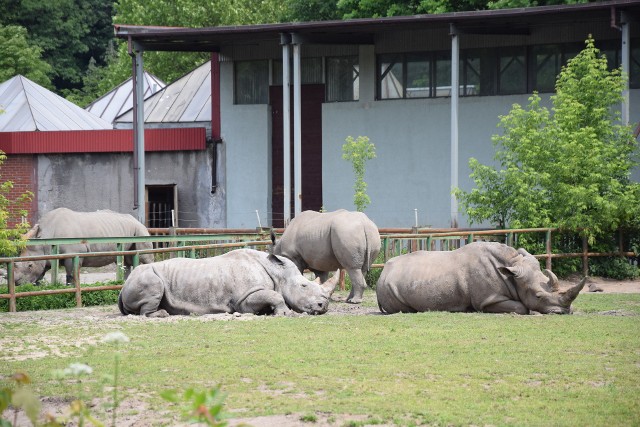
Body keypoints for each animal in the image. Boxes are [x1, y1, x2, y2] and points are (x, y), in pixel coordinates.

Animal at [13, 208, 154, 286]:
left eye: (30, 265)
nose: (17, 284)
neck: (45, 239)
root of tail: (136, 219)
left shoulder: (72, 254)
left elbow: (71, 275)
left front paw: (69, 288)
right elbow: (41, 274)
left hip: (140, 230)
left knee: (144, 257)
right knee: (126, 261)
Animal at [118, 247, 342, 318]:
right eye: (304, 286)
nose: (323, 306)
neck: (278, 273)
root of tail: (122, 287)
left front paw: (270, 311)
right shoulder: (245, 298)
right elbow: (275, 295)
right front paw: (284, 313)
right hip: (145, 277)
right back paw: (162, 315)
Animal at [378, 242, 588, 316]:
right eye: (538, 296)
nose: (563, 312)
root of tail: (383, 273)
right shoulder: (488, 299)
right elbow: (521, 307)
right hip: (389, 288)